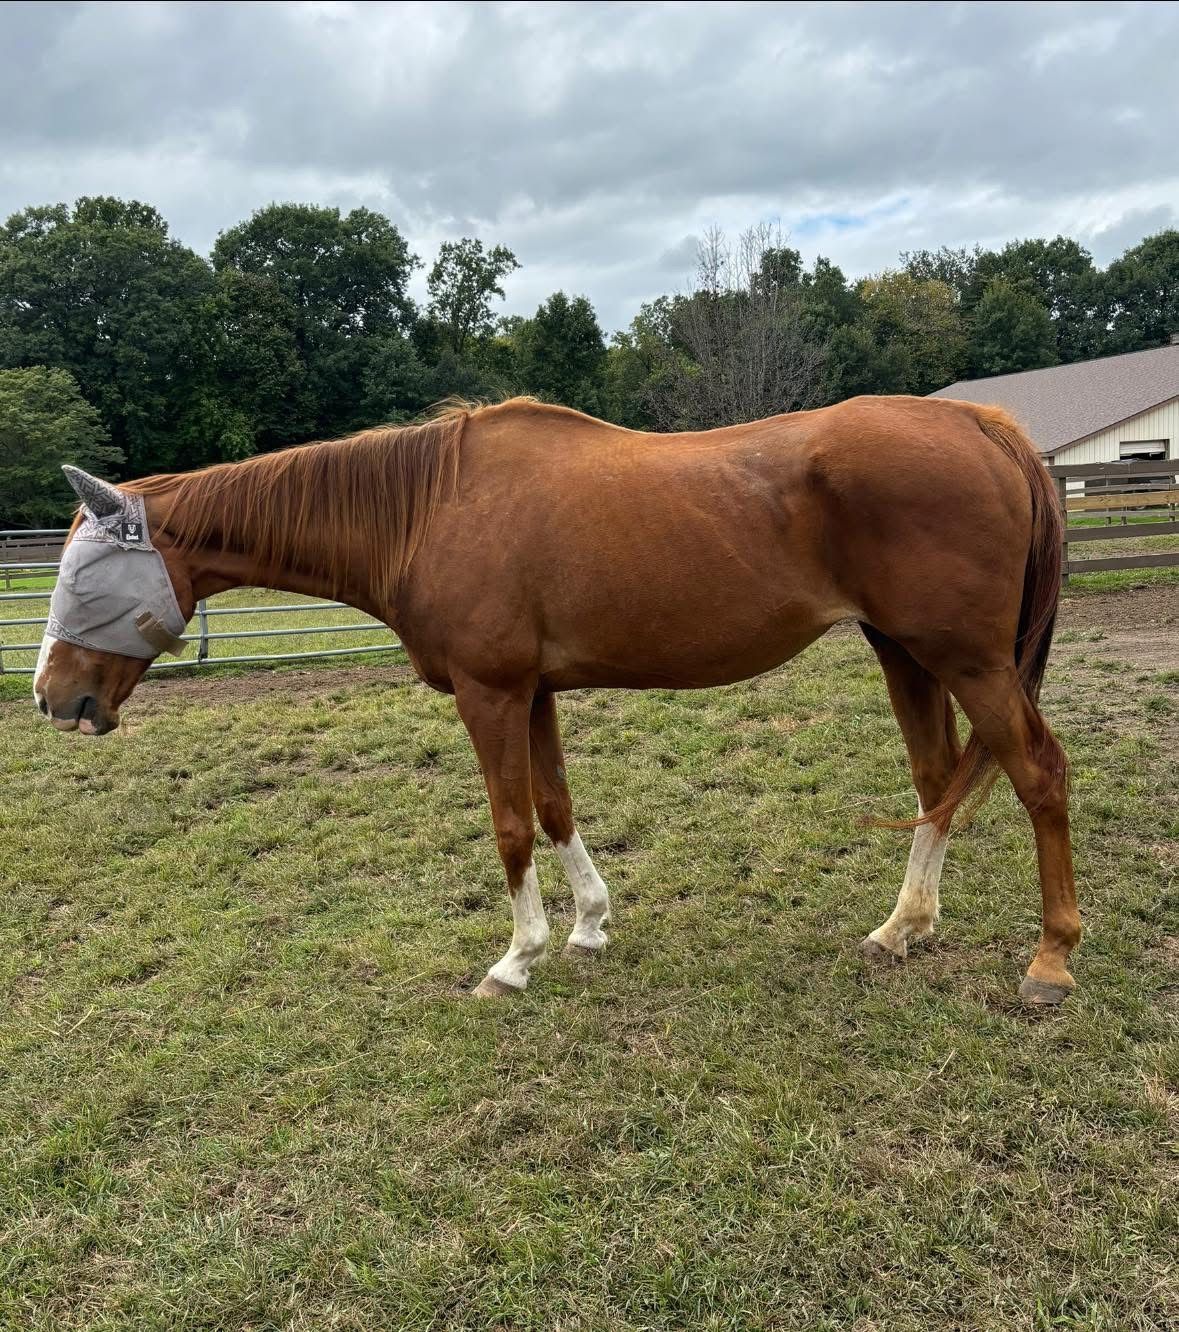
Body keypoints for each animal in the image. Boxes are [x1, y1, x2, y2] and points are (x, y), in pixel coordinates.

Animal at [33, 394, 1079, 1006]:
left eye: (81, 578)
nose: (52, 698)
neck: (426, 508)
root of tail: (981, 425)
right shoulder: (532, 693)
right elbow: (554, 807)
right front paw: (588, 926)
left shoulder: (489, 693)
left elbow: (507, 826)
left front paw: (516, 957)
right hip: (904, 652)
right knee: (937, 781)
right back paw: (903, 928)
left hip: (967, 660)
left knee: (1037, 774)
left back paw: (1050, 958)